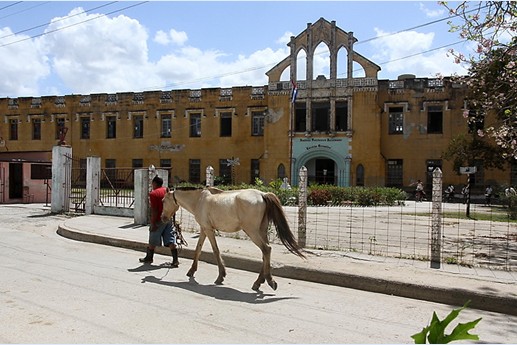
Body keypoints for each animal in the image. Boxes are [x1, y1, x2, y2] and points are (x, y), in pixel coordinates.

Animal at [161, 187, 304, 288]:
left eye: (163, 201)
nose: (163, 218)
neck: (199, 200)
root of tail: (262, 195)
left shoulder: (209, 230)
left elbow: (215, 250)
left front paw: (221, 276)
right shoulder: (204, 229)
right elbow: (198, 249)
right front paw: (192, 271)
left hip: (252, 231)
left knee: (266, 249)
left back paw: (269, 281)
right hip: (261, 231)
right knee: (265, 254)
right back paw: (258, 282)